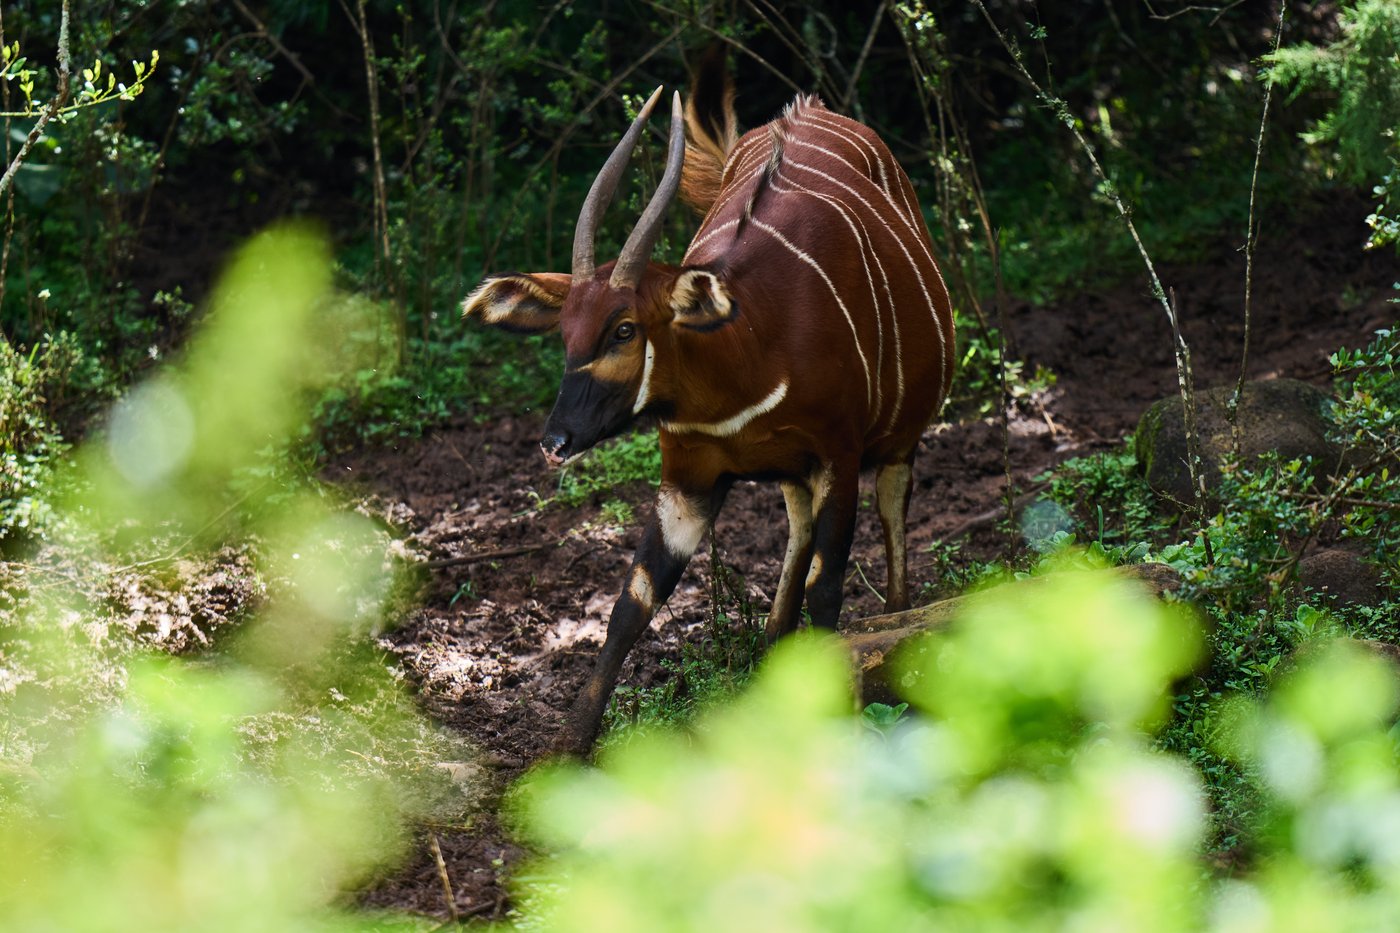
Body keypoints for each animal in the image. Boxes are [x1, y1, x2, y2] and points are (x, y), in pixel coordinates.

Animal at [463, 62, 954, 755]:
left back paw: (894, 617)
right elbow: (631, 603)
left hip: (896, 441)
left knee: (891, 512)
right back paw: (772, 651)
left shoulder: (839, 454)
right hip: (794, 473)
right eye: (565, 332)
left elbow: (828, 590)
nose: (555, 441)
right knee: (797, 528)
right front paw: (567, 748)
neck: (748, 352)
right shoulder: (689, 476)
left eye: (624, 329)